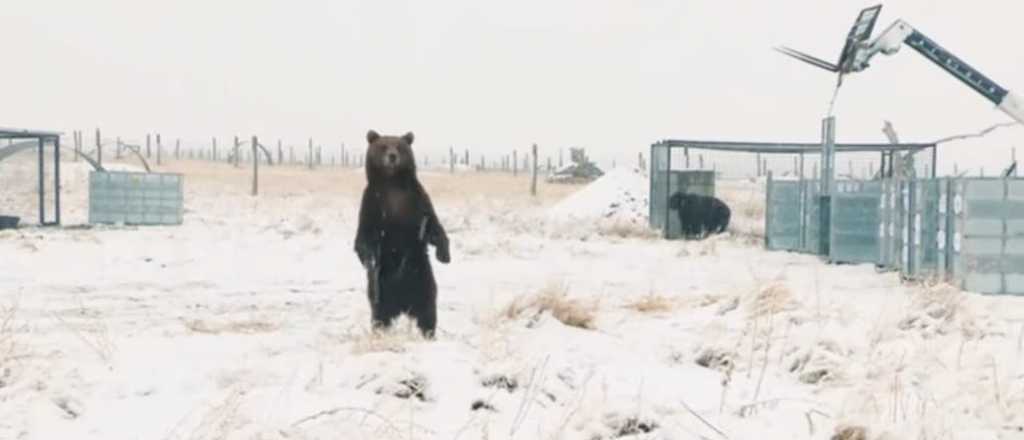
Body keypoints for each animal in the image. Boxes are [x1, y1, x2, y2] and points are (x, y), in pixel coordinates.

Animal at [354, 128, 450, 337]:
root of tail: (402, 305)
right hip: (382, 293)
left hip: (422, 279)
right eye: (383, 146)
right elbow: (364, 238)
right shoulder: (372, 205)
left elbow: (433, 225)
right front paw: (370, 261)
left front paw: (444, 255)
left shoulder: (417, 200)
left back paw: (428, 334)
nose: (392, 156)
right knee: (379, 314)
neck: (392, 184)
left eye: (399, 146)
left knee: (428, 311)